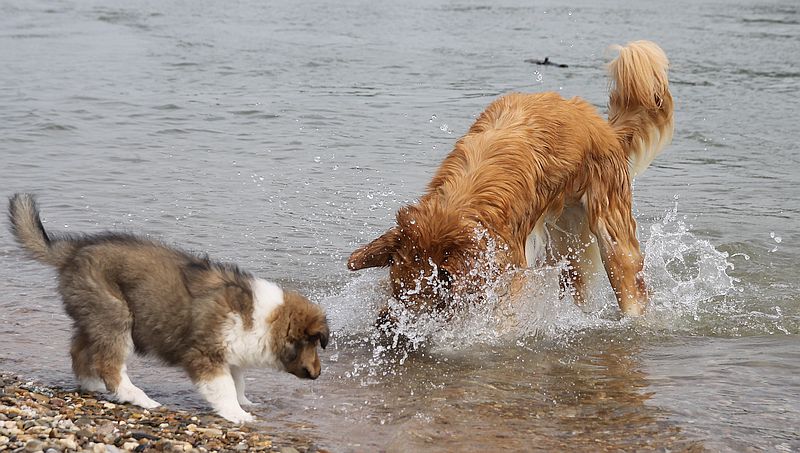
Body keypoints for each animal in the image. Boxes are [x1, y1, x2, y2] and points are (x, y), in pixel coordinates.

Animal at [9, 192, 328, 422]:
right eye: (314, 343)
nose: (318, 374)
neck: (264, 318)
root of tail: (74, 251)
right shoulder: (204, 354)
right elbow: (224, 387)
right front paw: (239, 414)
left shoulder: (231, 353)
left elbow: (238, 382)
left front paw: (246, 403)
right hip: (116, 315)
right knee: (109, 364)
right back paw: (140, 398)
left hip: (94, 316)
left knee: (80, 351)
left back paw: (94, 385)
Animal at [346, 41, 672, 318]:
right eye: (396, 289)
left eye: (425, 292)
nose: (384, 323)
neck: (460, 207)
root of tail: (604, 129)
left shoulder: (508, 271)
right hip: (566, 247)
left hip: (613, 241)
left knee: (631, 285)